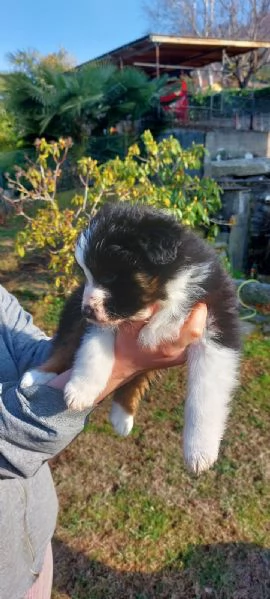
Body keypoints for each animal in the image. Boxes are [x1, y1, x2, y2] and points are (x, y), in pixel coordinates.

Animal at [21, 204, 240, 476]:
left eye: (110, 276)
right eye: (88, 275)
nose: (86, 311)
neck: (163, 295)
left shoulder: (217, 327)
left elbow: (205, 394)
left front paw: (200, 452)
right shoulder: (104, 320)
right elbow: (93, 351)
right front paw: (82, 389)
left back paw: (121, 414)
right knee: (64, 345)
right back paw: (38, 375)